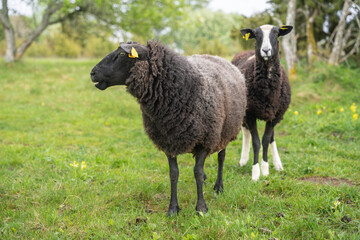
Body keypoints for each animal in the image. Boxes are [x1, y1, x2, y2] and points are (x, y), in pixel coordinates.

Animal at [90, 40, 248, 215]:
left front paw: (201, 208)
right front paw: (173, 208)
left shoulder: (205, 140)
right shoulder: (168, 140)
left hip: (225, 131)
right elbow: (174, 173)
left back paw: (219, 186)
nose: (92, 73)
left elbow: (197, 172)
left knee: (221, 157)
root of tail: (214, 56)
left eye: (122, 54)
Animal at [232, 24, 294, 180]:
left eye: (276, 33)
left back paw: (278, 164)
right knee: (246, 131)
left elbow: (266, 140)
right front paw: (255, 172)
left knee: (271, 137)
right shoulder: (250, 113)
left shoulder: (275, 115)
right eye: (256, 35)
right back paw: (243, 160)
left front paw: (265, 169)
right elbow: (256, 142)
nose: (266, 50)